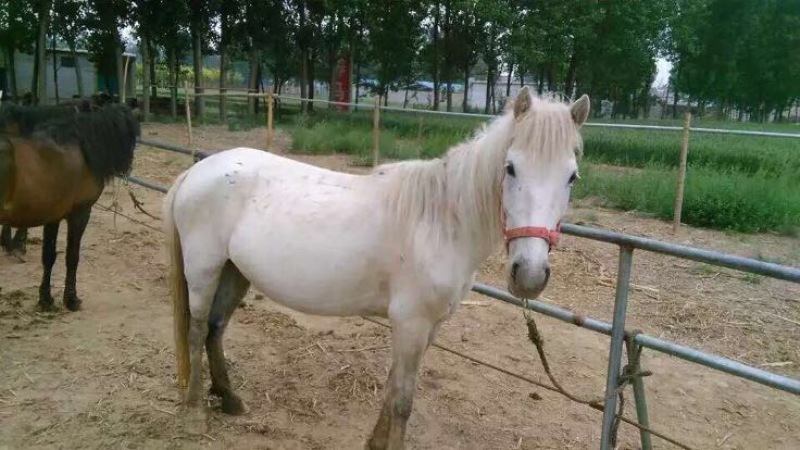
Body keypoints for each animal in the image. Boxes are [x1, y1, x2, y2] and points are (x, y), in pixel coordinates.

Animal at [0, 103, 140, 311]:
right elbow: (72, 256)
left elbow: (48, 256)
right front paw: (71, 299)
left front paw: (46, 298)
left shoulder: (52, 216)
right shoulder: (80, 214)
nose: (127, 165)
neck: (79, 148)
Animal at [163, 87, 589, 449]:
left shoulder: (427, 327)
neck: (440, 222)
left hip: (235, 271)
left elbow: (392, 388)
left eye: (572, 176)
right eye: (511, 168)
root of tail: (195, 172)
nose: (530, 275)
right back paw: (195, 413)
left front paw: (374, 442)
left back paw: (229, 398)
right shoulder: (411, 322)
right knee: (197, 329)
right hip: (204, 269)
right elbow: (402, 401)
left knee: (216, 327)